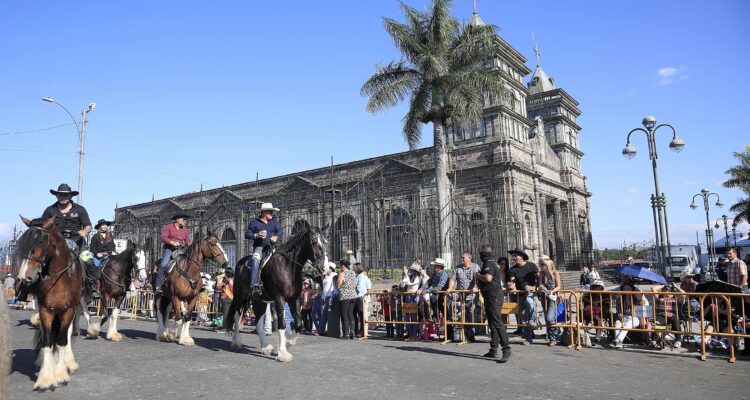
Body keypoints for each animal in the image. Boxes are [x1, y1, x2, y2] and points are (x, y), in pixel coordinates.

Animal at [17, 217, 83, 392]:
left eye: (40, 242)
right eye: (24, 243)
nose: (24, 277)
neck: (59, 279)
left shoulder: (68, 311)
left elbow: (61, 341)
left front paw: (60, 375)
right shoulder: (45, 310)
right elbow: (47, 342)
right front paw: (45, 379)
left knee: (65, 335)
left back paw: (68, 362)